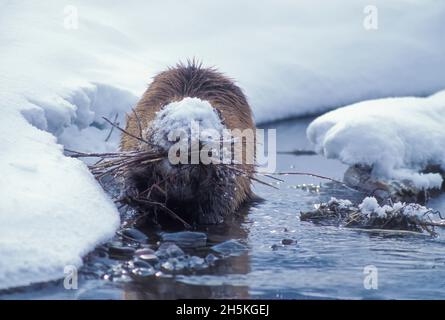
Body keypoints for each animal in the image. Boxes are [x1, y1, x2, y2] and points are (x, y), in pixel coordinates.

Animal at [119, 60, 255, 225]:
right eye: (165, 120)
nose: (181, 151)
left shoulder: (236, 156)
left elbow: (227, 191)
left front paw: (209, 216)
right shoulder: (139, 133)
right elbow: (133, 168)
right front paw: (131, 194)